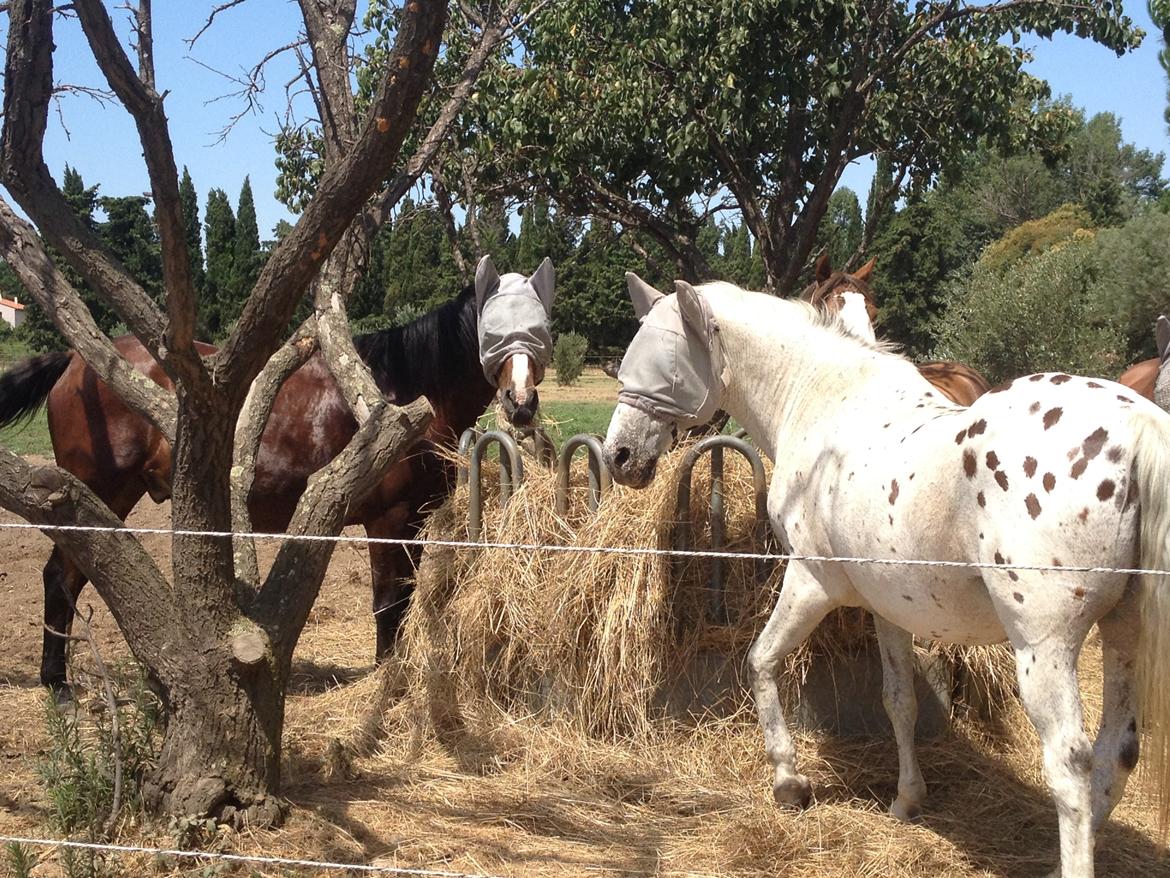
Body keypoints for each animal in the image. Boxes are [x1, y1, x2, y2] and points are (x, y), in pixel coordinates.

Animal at [0, 254, 556, 702]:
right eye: (491, 330)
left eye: (542, 325)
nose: (521, 403)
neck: (399, 392)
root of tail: (75, 361)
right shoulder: (387, 521)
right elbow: (388, 604)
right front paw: (386, 682)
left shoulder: (413, 523)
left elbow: (404, 601)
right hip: (95, 492)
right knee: (60, 577)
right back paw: (57, 685)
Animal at [608, 276, 1170, 878]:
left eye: (667, 362)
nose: (620, 455)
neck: (823, 402)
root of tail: (1135, 428)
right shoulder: (890, 606)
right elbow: (899, 700)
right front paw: (907, 800)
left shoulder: (811, 583)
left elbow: (760, 661)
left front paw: (789, 782)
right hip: (1124, 632)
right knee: (1118, 751)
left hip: (1045, 647)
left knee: (1070, 763)